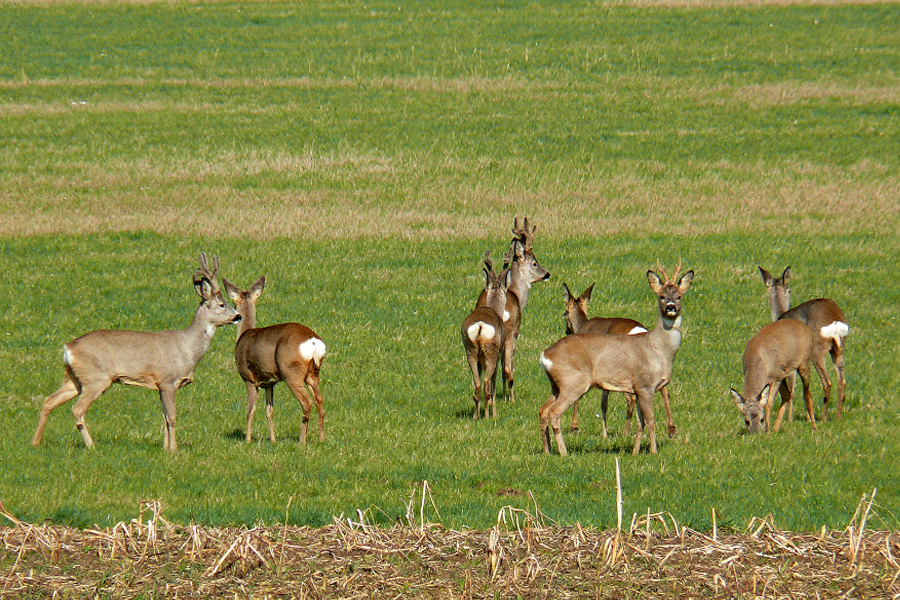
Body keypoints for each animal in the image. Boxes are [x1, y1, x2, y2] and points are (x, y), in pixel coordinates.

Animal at [30, 251, 239, 452]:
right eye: (222, 304)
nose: (238, 316)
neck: (188, 349)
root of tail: (68, 348)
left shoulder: (160, 385)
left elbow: (164, 417)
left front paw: (165, 448)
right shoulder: (168, 381)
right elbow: (171, 417)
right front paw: (174, 449)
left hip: (75, 378)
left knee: (49, 400)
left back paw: (35, 442)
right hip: (96, 378)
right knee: (77, 409)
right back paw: (91, 445)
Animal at [460, 251, 510, 420]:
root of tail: (480, 325)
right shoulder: (499, 354)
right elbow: (494, 386)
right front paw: (494, 413)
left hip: (470, 351)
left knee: (477, 386)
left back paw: (476, 416)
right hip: (491, 352)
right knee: (488, 385)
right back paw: (489, 416)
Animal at [564, 282, 676, 440]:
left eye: (564, 314)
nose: (567, 331)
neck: (582, 325)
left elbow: (581, 397)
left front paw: (574, 427)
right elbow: (604, 400)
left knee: (631, 398)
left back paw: (626, 432)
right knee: (664, 391)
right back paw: (671, 430)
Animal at [760, 268, 852, 422]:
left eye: (789, 289)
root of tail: (835, 322)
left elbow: (792, 388)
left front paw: (790, 419)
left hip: (817, 351)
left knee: (827, 383)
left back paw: (824, 418)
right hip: (838, 350)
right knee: (842, 381)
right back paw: (838, 417)